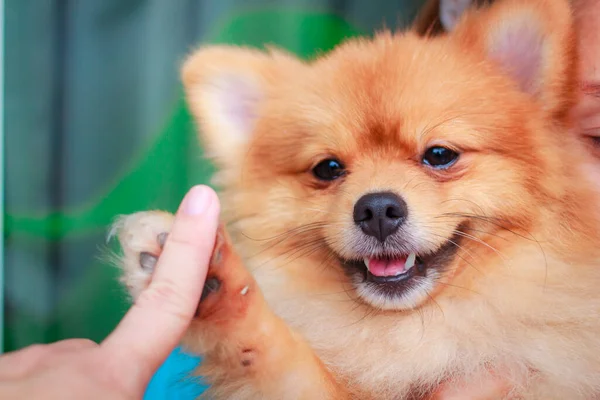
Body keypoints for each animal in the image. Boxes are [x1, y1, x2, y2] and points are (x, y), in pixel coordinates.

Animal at [111, 0, 600, 398]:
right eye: (327, 168)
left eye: (439, 155)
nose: (377, 209)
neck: (417, 330)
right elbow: (279, 357)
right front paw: (213, 281)